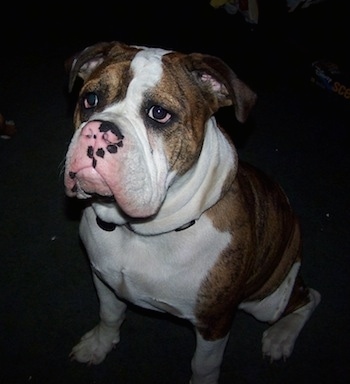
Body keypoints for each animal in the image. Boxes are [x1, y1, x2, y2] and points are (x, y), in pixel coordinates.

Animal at [64, 40, 322, 382]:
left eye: (159, 114)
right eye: (90, 99)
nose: (97, 129)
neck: (139, 232)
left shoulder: (214, 322)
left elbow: (204, 364)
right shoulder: (103, 279)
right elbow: (110, 314)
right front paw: (100, 345)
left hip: (267, 301)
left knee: (308, 298)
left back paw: (281, 337)